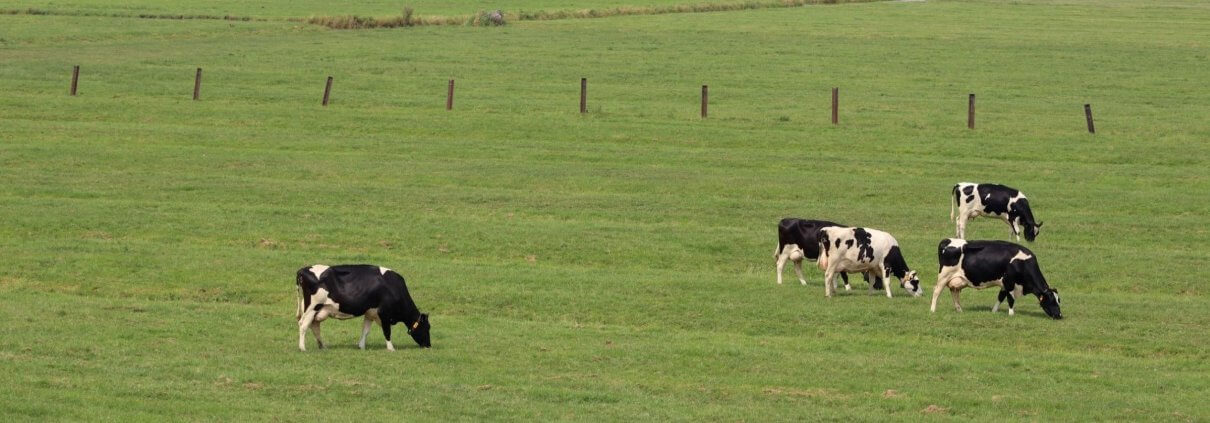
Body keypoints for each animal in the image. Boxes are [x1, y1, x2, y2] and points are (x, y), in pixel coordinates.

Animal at [295, 264, 433, 350]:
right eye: (427, 327)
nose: (429, 345)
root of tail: (303, 270)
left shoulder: (370, 313)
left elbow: (365, 330)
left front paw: (361, 346)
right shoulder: (384, 314)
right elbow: (387, 332)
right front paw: (391, 348)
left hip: (316, 309)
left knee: (314, 326)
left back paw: (322, 346)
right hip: (312, 307)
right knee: (303, 325)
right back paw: (302, 348)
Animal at [929, 239, 1064, 319]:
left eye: (1059, 300)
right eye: (1052, 301)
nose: (1059, 315)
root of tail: (947, 240)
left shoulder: (1004, 284)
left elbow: (1000, 297)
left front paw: (994, 311)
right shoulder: (1009, 282)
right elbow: (1010, 299)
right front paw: (1011, 314)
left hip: (956, 279)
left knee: (954, 292)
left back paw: (959, 310)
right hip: (944, 276)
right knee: (936, 291)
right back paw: (932, 310)